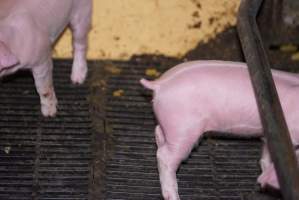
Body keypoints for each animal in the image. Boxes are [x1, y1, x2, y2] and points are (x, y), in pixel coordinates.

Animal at [141, 60, 299, 199]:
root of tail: (161, 84)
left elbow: (266, 155)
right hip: (183, 128)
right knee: (165, 156)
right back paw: (173, 196)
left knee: (158, 133)